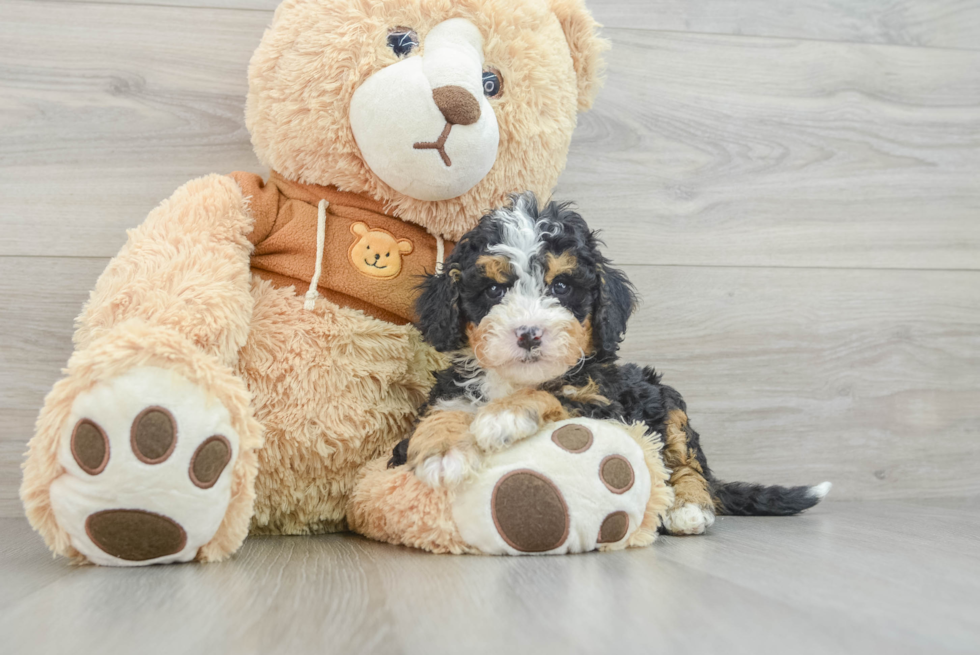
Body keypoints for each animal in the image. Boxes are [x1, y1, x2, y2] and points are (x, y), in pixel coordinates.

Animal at [390, 192, 828, 536]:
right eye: (494, 290)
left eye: (561, 286)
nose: (529, 334)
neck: (514, 382)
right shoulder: (454, 392)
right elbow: (445, 414)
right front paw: (443, 452)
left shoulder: (607, 406)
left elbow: (557, 397)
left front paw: (505, 415)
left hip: (668, 403)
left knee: (687, 463)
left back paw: (687, 507)